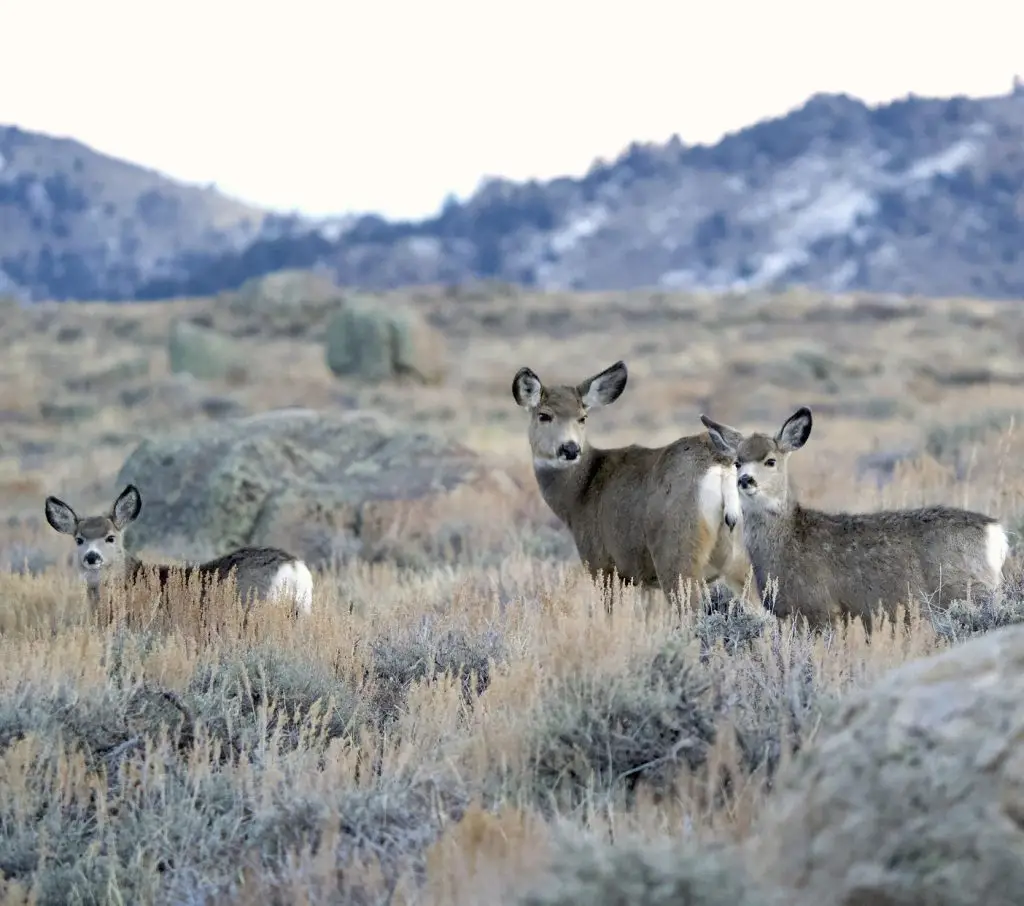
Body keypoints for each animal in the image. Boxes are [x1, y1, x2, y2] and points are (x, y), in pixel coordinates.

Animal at [512, 360, 753, 612]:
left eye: (582, 417)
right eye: (544, 415)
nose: (570, 448)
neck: (580, 494)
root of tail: (722, 464)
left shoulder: (603, 564)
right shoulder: (642, 579)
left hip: (677, 554)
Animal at [699, 406, 1009, 632]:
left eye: (770, 460)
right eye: (737, 462)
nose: (745, 480)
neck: (788, 540)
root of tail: (995, 533)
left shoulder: (819, 609)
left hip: (968, 592)